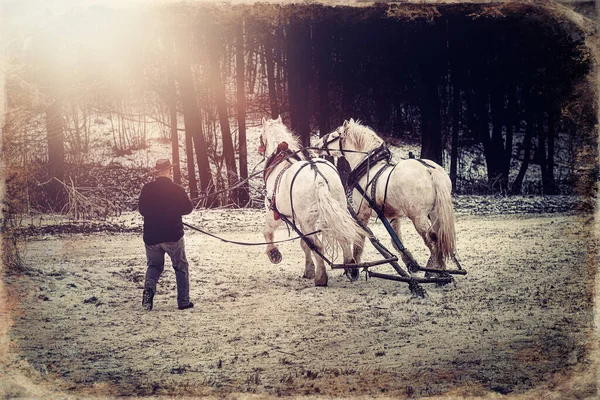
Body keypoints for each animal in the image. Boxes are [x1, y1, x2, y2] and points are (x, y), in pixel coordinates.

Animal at [258, 115, 364, 288]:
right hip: (336, 210)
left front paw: (273, 253)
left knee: (318, 245)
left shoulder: (274, 212)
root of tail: (318, 176)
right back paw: (351, 267)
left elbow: (267, 231)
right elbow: (304, 244)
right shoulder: (299, 219)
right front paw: (308, 269)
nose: (259, 149)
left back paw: (321, 277)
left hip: (308, 220)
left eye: (261, 135)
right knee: (342, 237)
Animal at [314, 119, 454, 276]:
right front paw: (410, 264)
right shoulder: (393, 216)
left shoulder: (363, 212)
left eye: (334, 135)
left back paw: (434, 270)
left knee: (432, 239)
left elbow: (360, 239)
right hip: (435, 213)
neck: (369, 166)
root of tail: (429, 169)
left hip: (418, 216)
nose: (316, 145)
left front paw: (354, 269)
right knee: (439, 237)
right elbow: (396, 242)